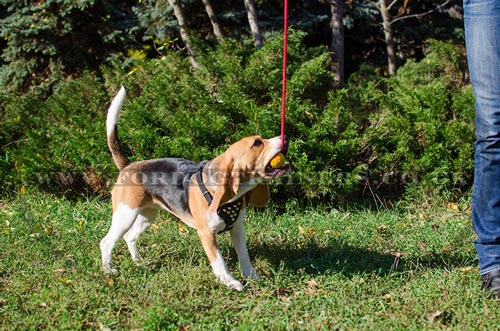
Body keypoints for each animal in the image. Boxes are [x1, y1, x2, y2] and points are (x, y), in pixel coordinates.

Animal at [99, 87, 290, 292]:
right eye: (257, 143)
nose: (285, 137)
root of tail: (129, 166)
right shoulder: (206, 234)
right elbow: (219, 261)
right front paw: (230, 282)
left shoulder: (238, 228)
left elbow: (244, 255)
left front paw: (252, 276)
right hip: (126, 214)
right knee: (106, 242)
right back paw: (109, 270)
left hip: (146, 215)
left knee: (130, 237)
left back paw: (138, 262)